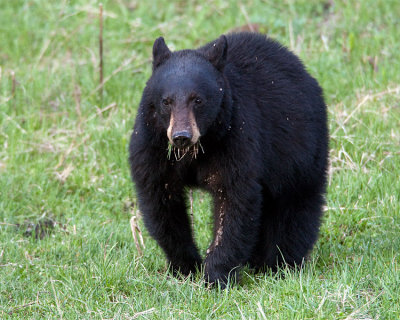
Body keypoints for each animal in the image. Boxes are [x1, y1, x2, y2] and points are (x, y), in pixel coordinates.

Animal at [130, 32, 330, 288]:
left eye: (198, 100)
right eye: (166, 101)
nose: (182, 136)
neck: (196, 150)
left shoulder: (234, 138)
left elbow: (234, 201)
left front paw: (215, 276)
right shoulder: (153, 146)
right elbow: (161, 201)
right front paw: (185, 266)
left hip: (300, 151)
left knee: (295, 206)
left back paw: (280, 264)